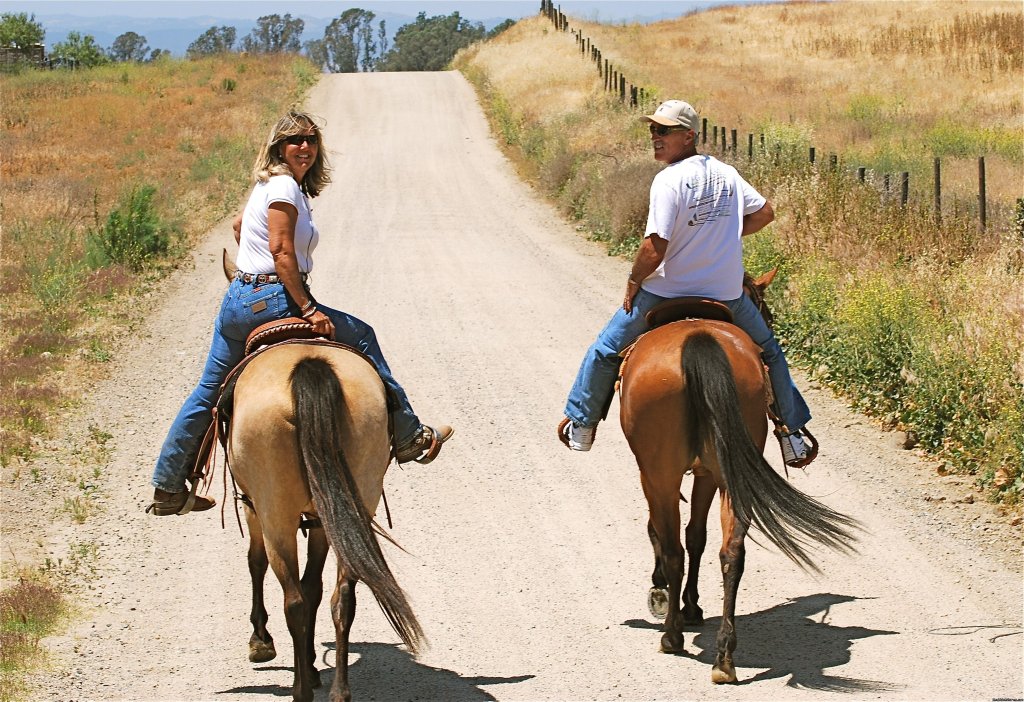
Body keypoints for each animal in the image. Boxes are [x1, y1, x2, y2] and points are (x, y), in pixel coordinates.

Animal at [618, 278, 860, 683]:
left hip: (662, 472)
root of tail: (698, 338)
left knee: (674, 549)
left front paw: (665, 596)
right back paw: (724, 657)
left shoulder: (653, 475)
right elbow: (697, 537)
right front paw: (692, 606)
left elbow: (667, 534)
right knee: (731, 552)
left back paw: (672, 635)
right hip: (729, 474)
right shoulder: (707, 473)